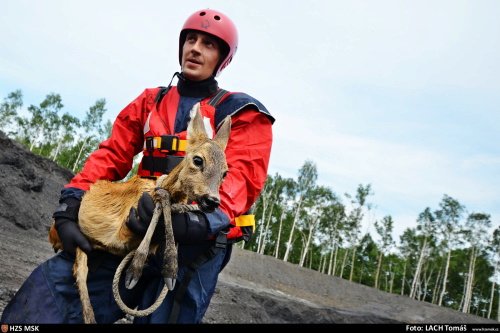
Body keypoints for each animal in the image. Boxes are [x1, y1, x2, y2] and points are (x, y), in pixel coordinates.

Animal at [47, 104, 231, 322]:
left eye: (225, 172)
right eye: (197, 160)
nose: (213, 200)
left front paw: (168, 270)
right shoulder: (126, 222)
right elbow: (160, 203)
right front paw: (135, 270)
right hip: (76, 241)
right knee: (80, 271)